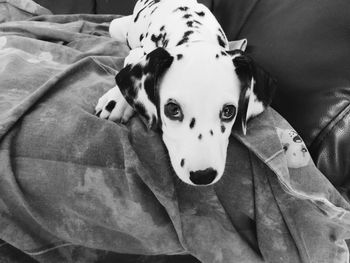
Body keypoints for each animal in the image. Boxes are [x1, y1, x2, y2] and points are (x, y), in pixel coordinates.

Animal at [95, 0, 276, 187]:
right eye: (172, 109)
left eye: (228, 111)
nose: (203, 176)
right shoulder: (137, 52)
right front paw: (117, 100)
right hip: (115, 27)